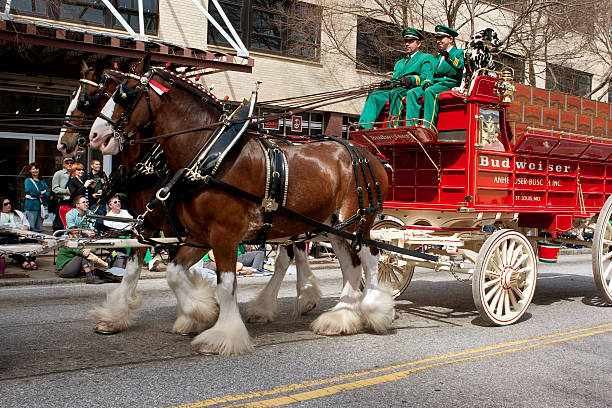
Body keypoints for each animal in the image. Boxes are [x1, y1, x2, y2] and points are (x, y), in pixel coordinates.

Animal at [59, 62, 322, 338]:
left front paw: (196, 312)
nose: (64, 144)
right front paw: (115, 318)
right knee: (291, 254)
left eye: (88, 98)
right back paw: (298, 299)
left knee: (290, 254)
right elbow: (134, 271)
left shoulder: (179, 227)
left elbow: (179, 270)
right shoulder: (149, 224)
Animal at [89, 56, 394, 354]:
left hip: (356, 222)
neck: (208, 154)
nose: (94, 136)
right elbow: (172, 274)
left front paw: (221, 334)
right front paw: (199, 311)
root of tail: (370, 155)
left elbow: (225, 285)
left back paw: (373, 308)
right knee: (348, 264)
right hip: (331, 226)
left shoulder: (222, 233)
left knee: (370, 258)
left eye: (124, 95)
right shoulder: (196, 234)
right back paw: (339, 316)